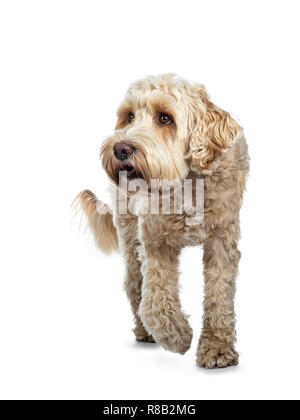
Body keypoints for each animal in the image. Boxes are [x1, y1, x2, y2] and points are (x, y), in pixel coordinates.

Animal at [75, 74, 248, 370]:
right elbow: (154, 301)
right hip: (129, 230)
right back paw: (146, 332)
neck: (188, 182)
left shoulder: (221, 241)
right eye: (129, 116)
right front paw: (177, 336)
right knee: (134, 284)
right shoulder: (155, 241)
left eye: (165, 118)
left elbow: (219, 295)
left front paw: (217, 348)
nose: (120, 148)